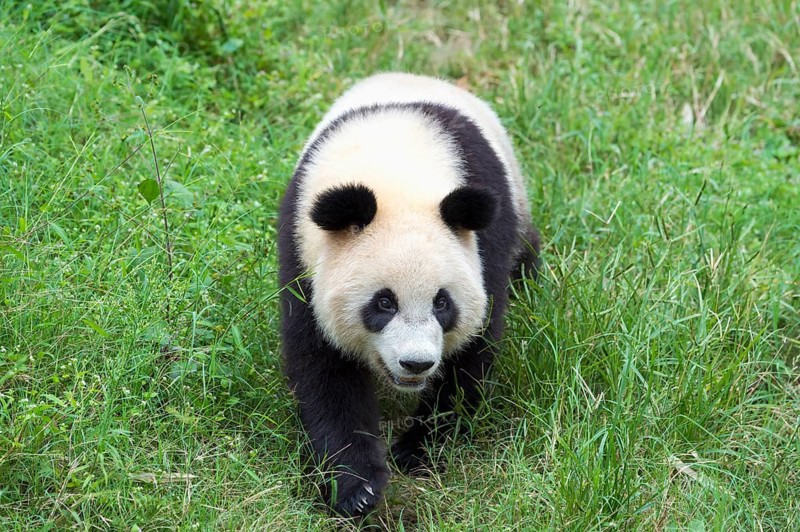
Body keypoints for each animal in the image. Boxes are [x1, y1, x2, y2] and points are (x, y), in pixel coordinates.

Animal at [277, 73, 540, 517]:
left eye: (442, 303)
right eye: (384, 302)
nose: (416, 363)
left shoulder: (484, 241)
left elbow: (472, 351)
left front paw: (418, 451)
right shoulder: (301, 249)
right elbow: (323, 369)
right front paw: (356, 488)